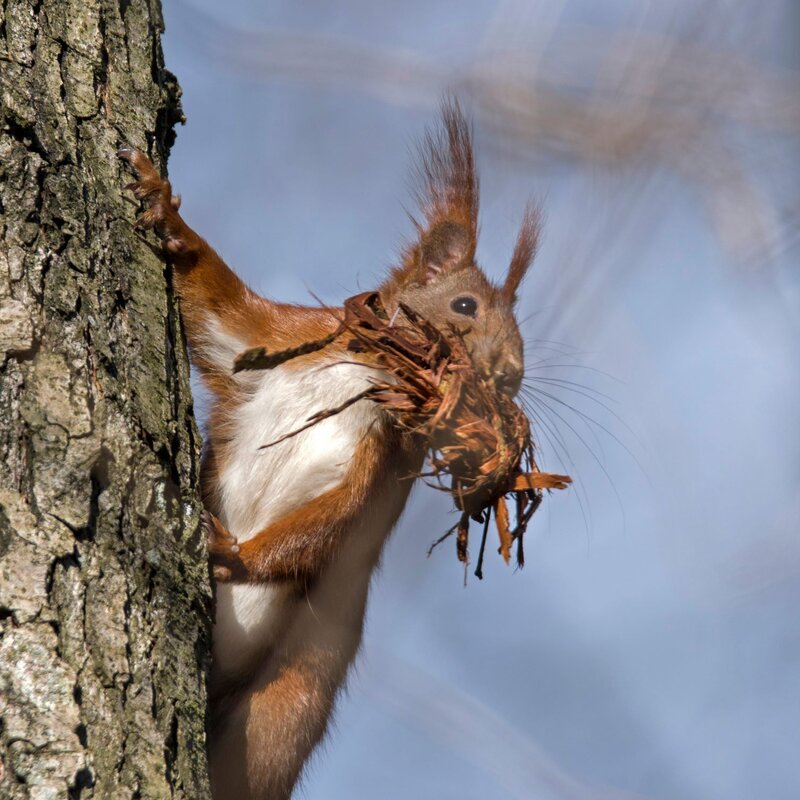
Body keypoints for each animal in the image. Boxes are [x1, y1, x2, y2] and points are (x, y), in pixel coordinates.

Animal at [120, 99, 540, 800]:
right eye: (464, 304)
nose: (509, 377)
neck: (365, 373)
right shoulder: (272, 340)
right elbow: (214, 302)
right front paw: (164, 209)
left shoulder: (380, 464)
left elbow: (335, 520)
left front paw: (230, 551)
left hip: (283, 710)